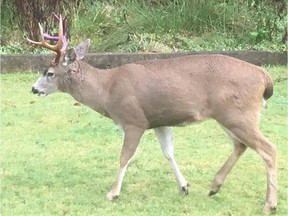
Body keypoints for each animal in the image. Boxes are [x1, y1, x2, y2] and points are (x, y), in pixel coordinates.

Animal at [27, 13, 276, 214]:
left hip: (238, 113)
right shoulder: (158, 120)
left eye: (49, 73)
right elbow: (169, 153)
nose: (34, 89)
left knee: (268, 149)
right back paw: (215, 186)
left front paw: (112, 193)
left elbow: (125, 157)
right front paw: (184, 186)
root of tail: (265, 77)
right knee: (241, 145)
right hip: (228, 114)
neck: (107, 91)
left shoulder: (133, 120)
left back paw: (269, 204)